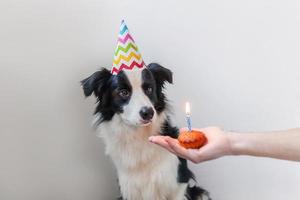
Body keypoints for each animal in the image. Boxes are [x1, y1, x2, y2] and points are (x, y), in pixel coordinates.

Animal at [81, 63, 210, 200]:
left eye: (149, 89)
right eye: (123, 92)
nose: (148, 112)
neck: (139, 135)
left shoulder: (178, 184)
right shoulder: (129, 189)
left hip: (201, 193)